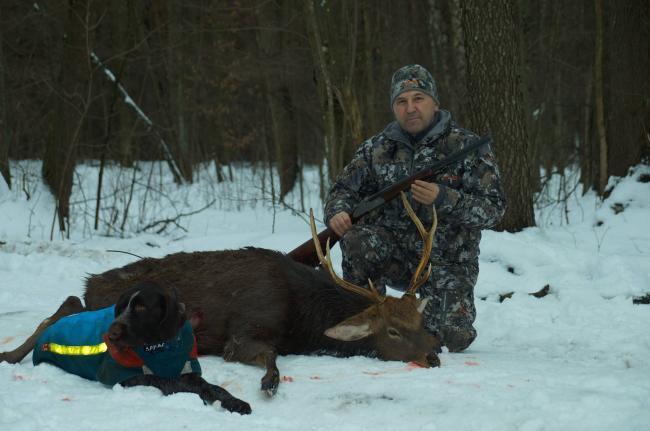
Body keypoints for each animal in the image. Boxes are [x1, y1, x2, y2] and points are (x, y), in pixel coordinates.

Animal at [0, 281, 251, 415]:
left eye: (140, 308)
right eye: (119, 308)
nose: (111, 334)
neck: (160, 346)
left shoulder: (188, 368)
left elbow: (214, 387)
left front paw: (235, 402)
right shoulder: (127, 377)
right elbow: (167, 381)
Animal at [1, 193, 441, 396]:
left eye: (421, 321)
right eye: (393, 331)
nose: (434, 356)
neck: (302, 316)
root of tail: (92, 281)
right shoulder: (247, 328)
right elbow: (270, 356)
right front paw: (268, 384)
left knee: (69, 303)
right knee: (66, 307)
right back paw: (10, 354)